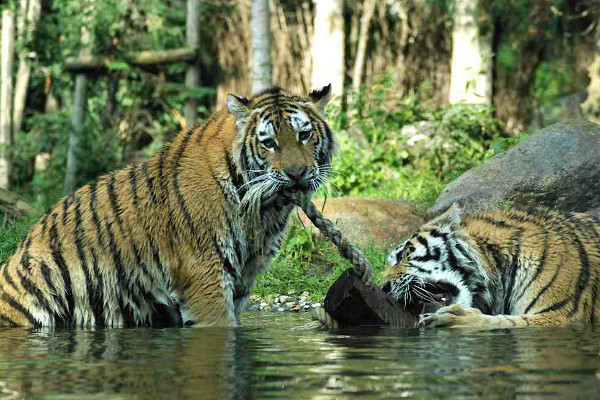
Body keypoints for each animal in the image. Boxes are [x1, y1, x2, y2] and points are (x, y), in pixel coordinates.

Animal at [0, 85, 338, 328]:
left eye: (304, 135)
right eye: (269, 143)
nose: (297, 173)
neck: (264, 209)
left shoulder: (243, 277)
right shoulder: (204, 275)